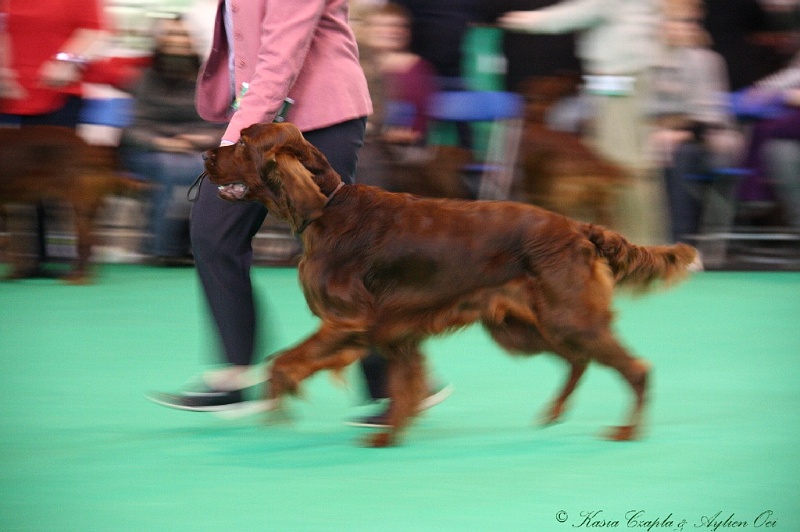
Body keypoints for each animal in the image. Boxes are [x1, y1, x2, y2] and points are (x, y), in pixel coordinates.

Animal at [203, 122, 696, 446]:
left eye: (243, 141)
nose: (206, 154)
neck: (327, 208)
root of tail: (577, 228)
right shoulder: (395, 332)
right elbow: (404, 386)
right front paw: (391, 433)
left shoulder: (347, 322)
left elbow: (281, 363)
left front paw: (278, 408)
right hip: (522, 327)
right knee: (578, 360)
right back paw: (554, 412)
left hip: (568, 317)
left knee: (634, 368)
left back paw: (626, 431)